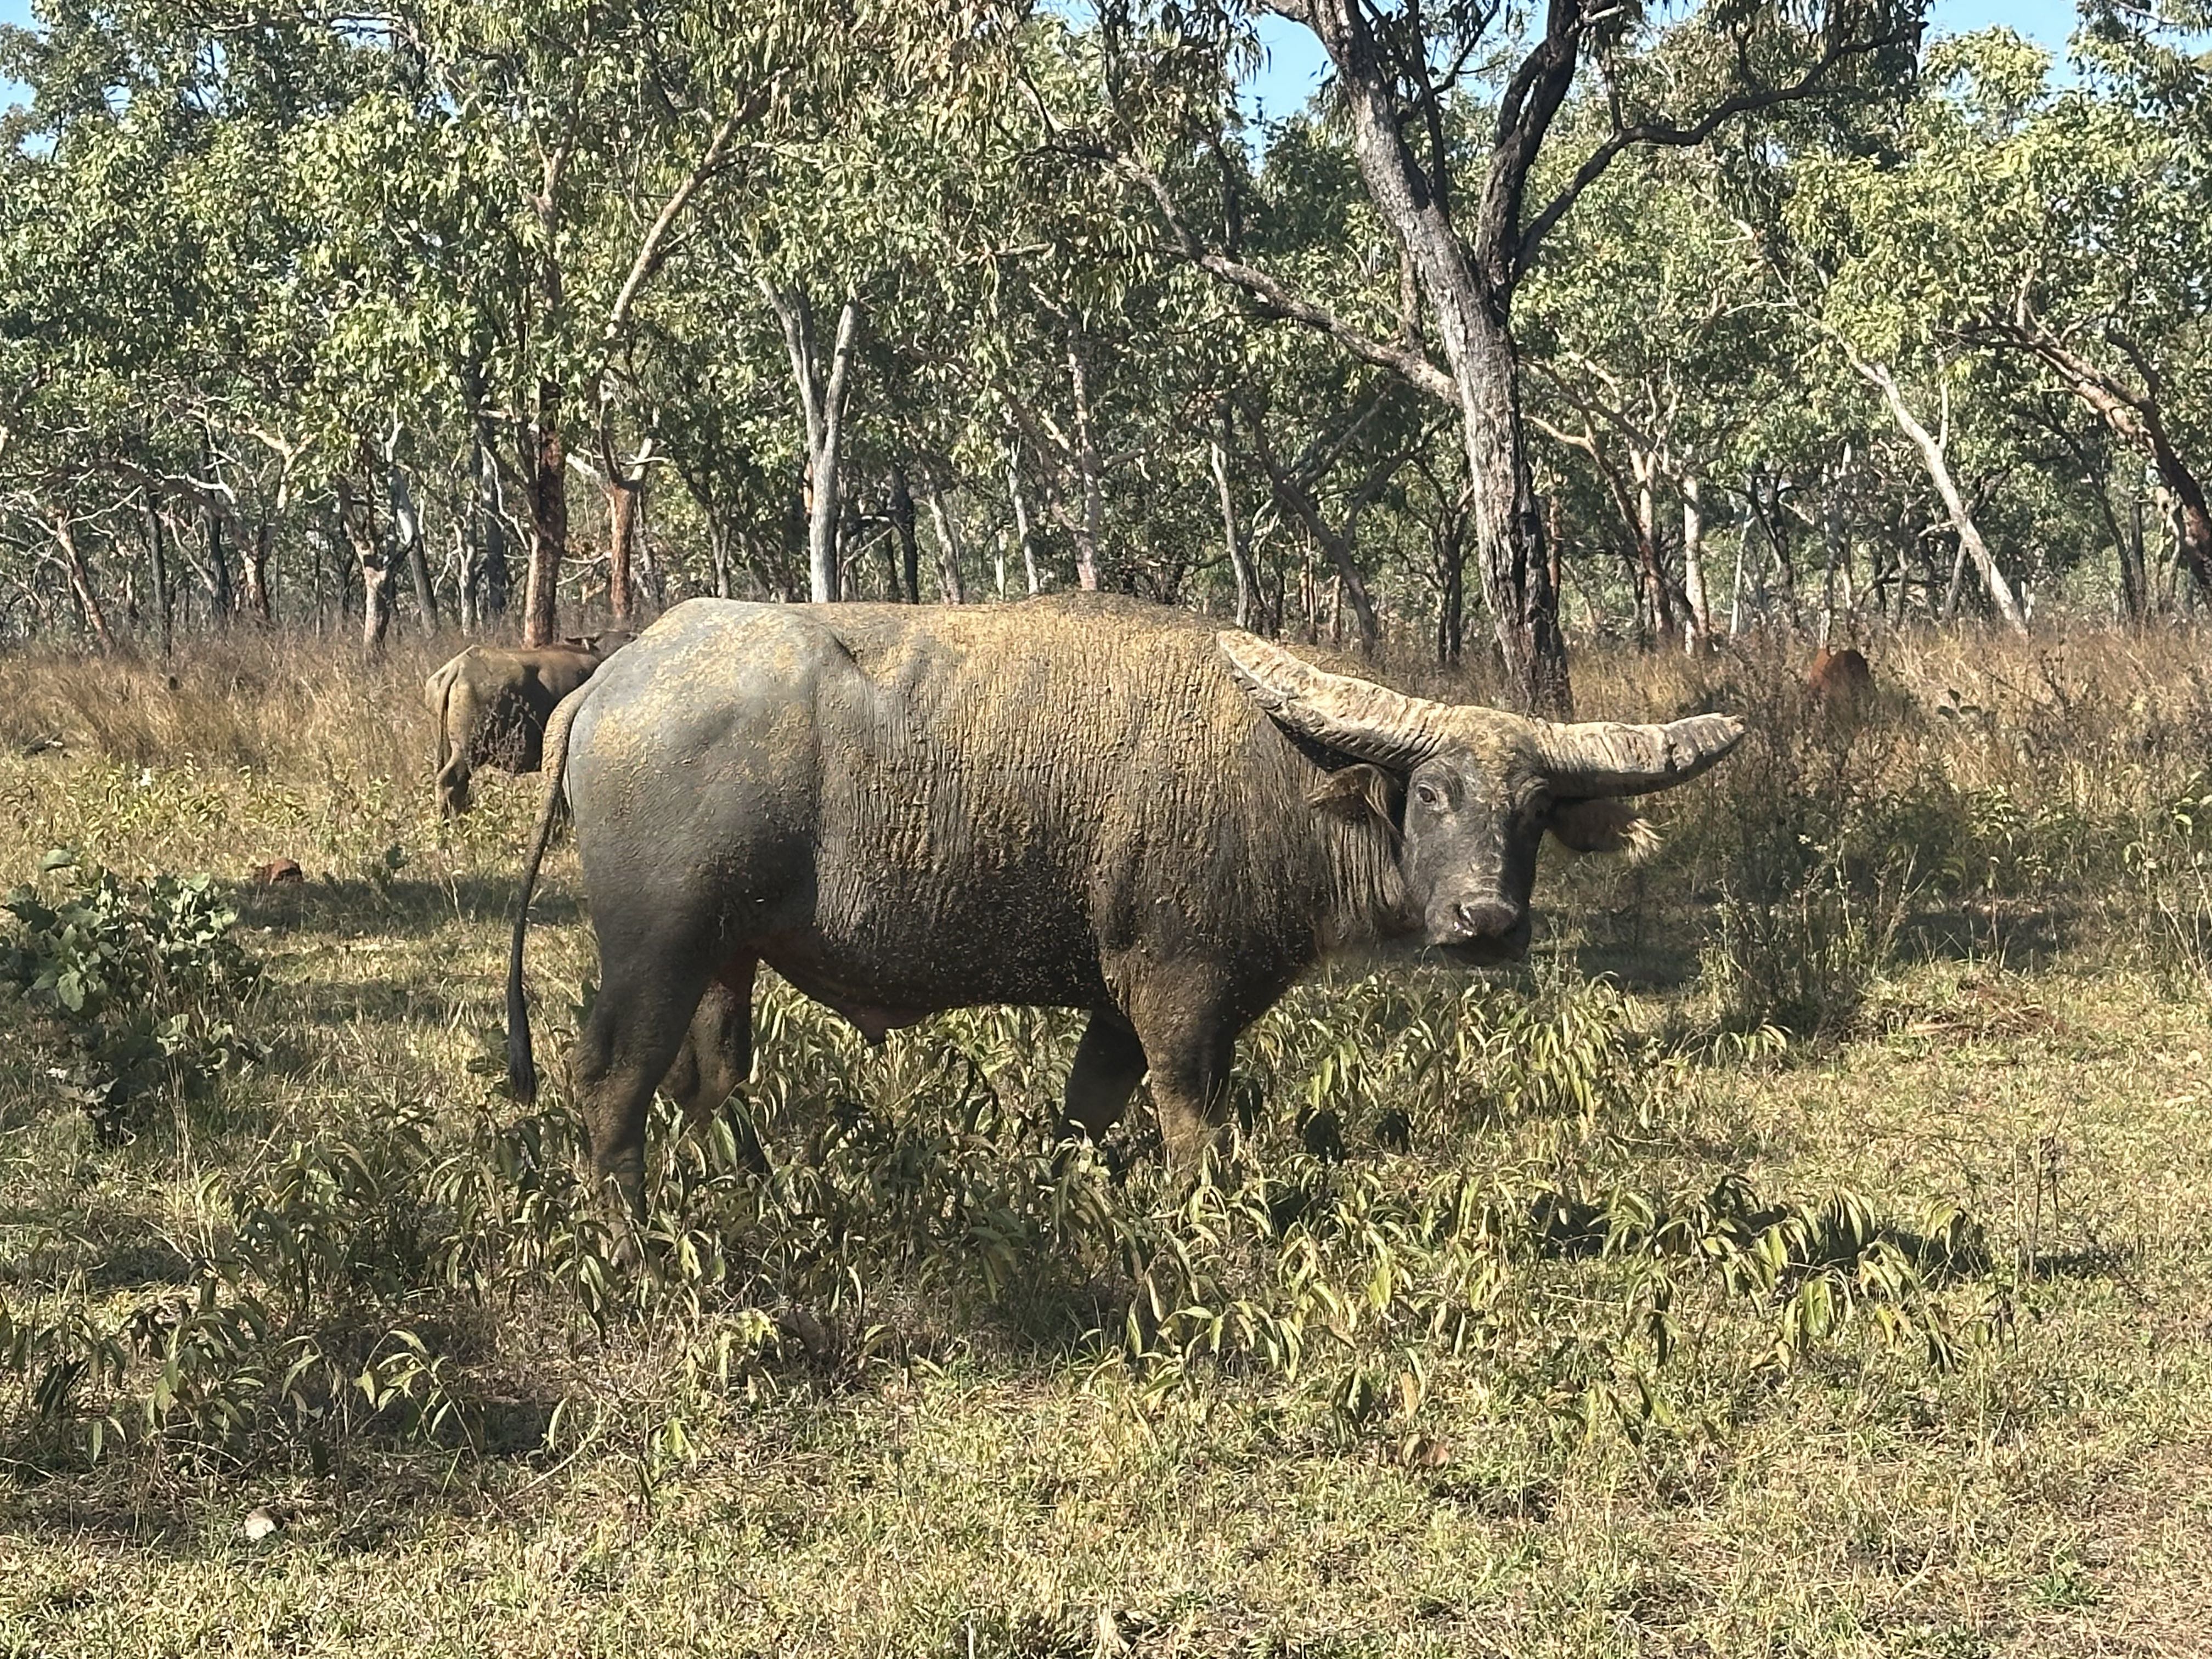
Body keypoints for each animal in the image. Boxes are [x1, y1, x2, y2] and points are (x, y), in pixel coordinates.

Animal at [505, 596, 1744, 1213]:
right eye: (1431, 793)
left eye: (1534, 811)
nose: (1485, 922)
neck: (1272, 774)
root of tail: (610, 682)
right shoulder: (1178, 989)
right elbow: (1191, 1120)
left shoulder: (1114, 998)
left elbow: (1086, 1111)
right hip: (658, 949)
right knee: (611, 1082)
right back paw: (632, 1243)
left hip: (730, 955)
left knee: (711, 1079)